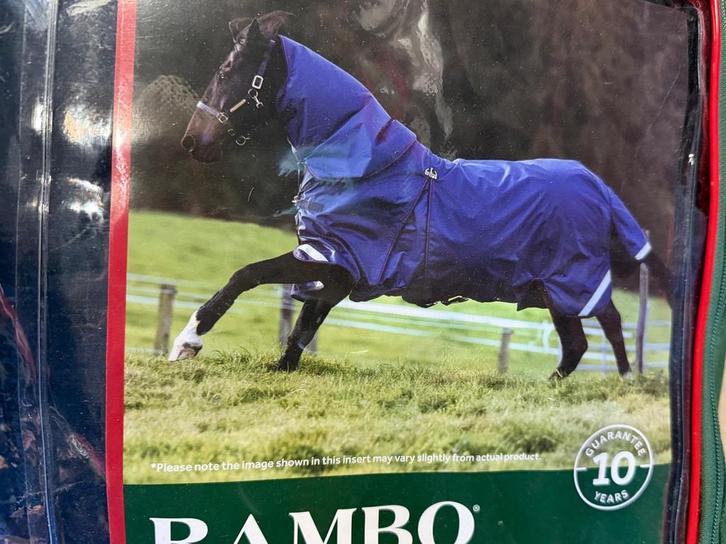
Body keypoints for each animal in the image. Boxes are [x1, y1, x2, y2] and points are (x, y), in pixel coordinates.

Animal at [170, 10, 670, 379]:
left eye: (228, 71)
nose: (192, 142)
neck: (363, 166)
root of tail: (596, 184)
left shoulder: (333, 255)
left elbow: (246, 275)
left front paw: (187, 342)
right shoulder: (336, 267)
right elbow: (303, 326)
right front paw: (281, 369)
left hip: (572, 280)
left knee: (610, 323)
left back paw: (625, 381)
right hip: (552, 288)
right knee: (578, 344)